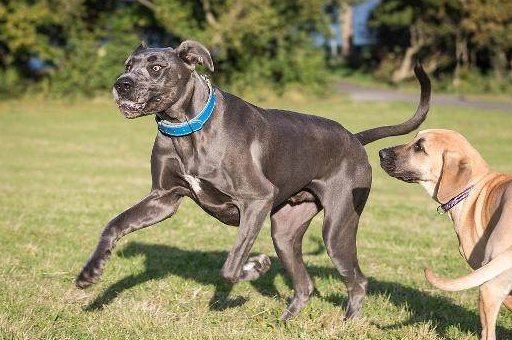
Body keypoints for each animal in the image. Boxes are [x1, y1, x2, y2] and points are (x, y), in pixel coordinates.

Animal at [74, 40, 430, 322]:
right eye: (127, 66)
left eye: (157, 67)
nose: (121, 84)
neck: (187, 128)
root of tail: (355, 138)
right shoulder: (162, 198)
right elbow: (113, 224)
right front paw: (90, 273)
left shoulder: (256, 200)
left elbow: (231, 266)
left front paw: (255, 267)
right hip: (284, 232)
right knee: (305, 285)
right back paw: (285, 321)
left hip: (337, 228)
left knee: (358, 280)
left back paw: (348, 321)